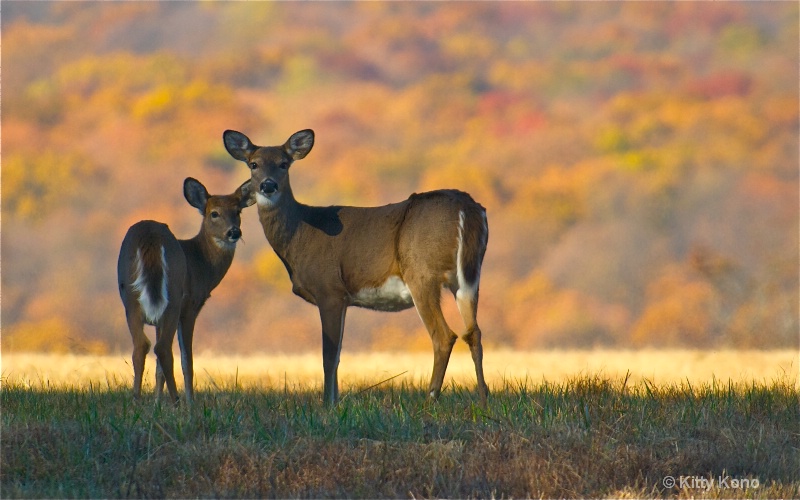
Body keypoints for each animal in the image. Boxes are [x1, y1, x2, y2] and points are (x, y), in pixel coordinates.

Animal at [117, 178, 255, 404]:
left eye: (238, 211)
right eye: (214, 213)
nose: (234, 232)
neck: (200, 263)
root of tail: (151, 236)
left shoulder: (158, 317)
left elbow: (158, 369)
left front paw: (156, 403)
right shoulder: (190, 307)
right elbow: (186, 360)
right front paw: (190, 402)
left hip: (130, 297)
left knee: (141, 345)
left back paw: (136, 400)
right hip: (173, 296)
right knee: (163, 348)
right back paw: (176, 401)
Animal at [222, 129, 490, 406]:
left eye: (284, 164)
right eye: (253, 164)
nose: (268, 185)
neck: (300, 233)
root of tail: (467, 209)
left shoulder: (329, 289)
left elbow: (329, 356)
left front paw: (327, 405)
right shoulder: (343, 298)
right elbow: (339, 354)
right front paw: (335, 402)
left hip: (422, 274)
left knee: (444, 336)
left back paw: (430, 400)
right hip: (468, 276)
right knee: (474, 332)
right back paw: (483, 401)